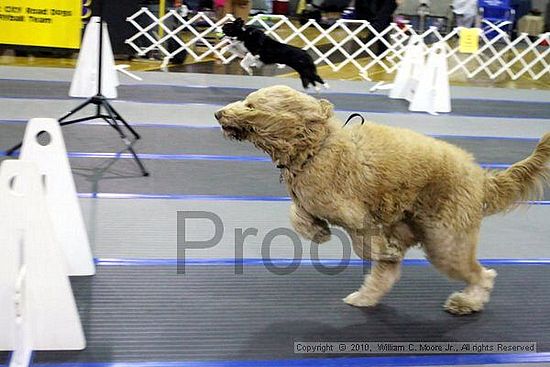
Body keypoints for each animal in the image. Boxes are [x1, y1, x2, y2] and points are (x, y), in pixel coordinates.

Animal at [215, 85, 550, 314]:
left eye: (250, 104)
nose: (218, 113)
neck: (316, 147)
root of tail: (480, 178)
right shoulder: (313, 202)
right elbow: (297, 215)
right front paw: (318, 232)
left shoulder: (354, 212)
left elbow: (362, 240)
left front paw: (372, 247)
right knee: (390, 273)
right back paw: (366, 296)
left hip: (446, 242)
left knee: (483, 275)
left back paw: (467, 301)